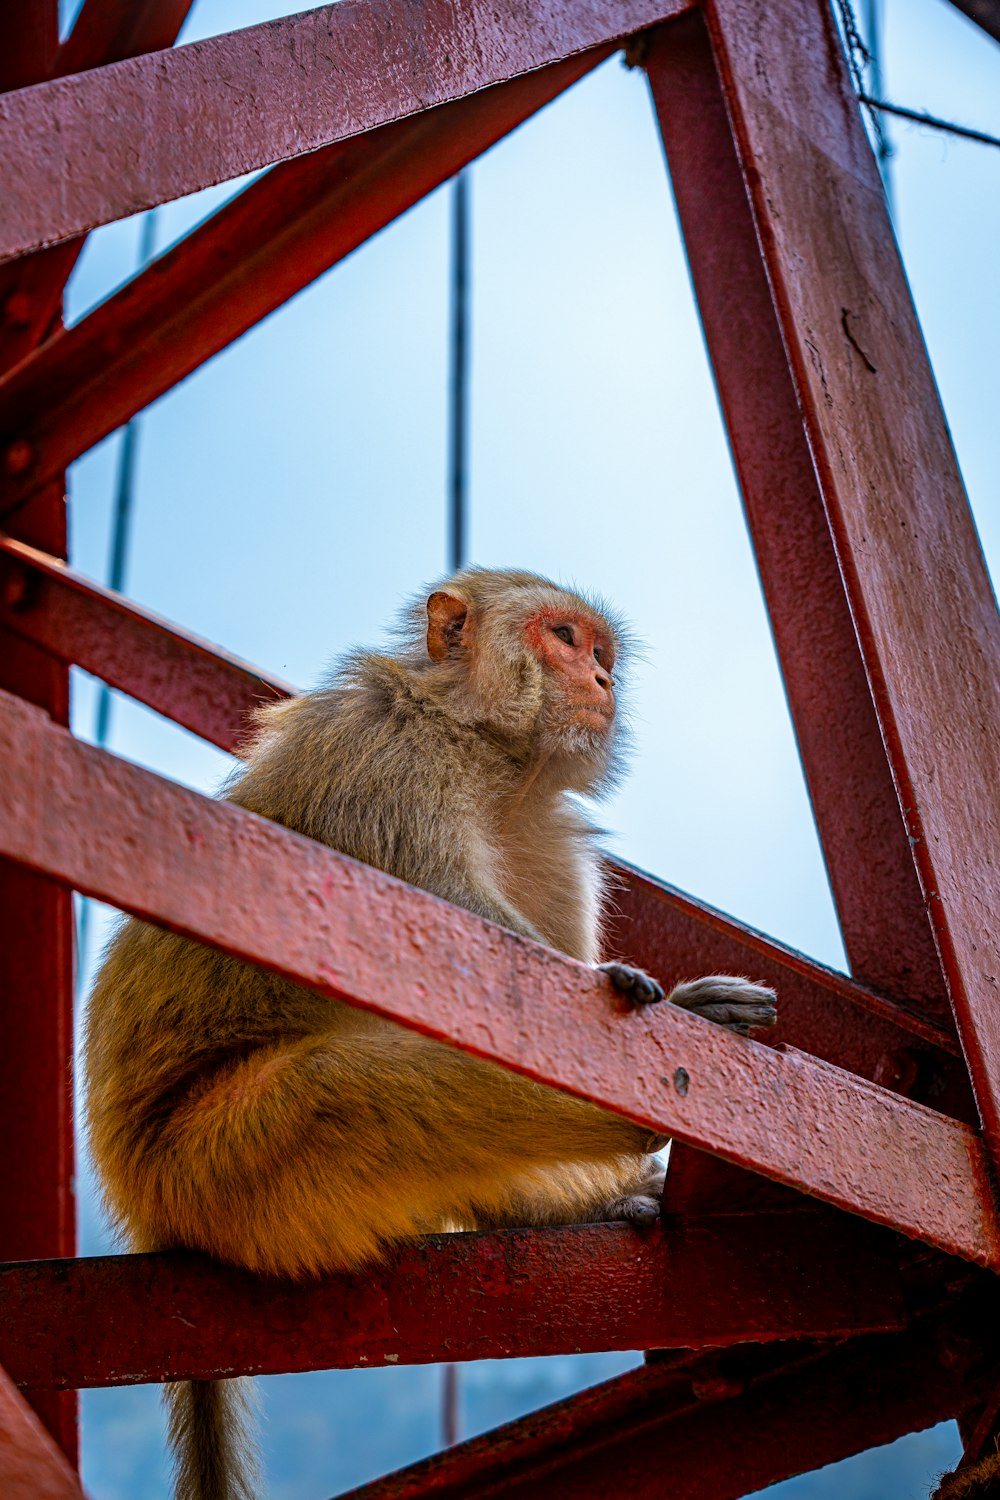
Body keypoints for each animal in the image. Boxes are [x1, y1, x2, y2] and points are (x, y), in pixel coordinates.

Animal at [82, 567, 779, 1494]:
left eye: (600, 648)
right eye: (565, 636)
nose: (604, 680)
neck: (491, 756)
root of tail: (152, 1220)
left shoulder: (553, 841)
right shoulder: (390, 756)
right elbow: (466, 964)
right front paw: (668, 1002)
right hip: (208, 1166)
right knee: (343, 1089)